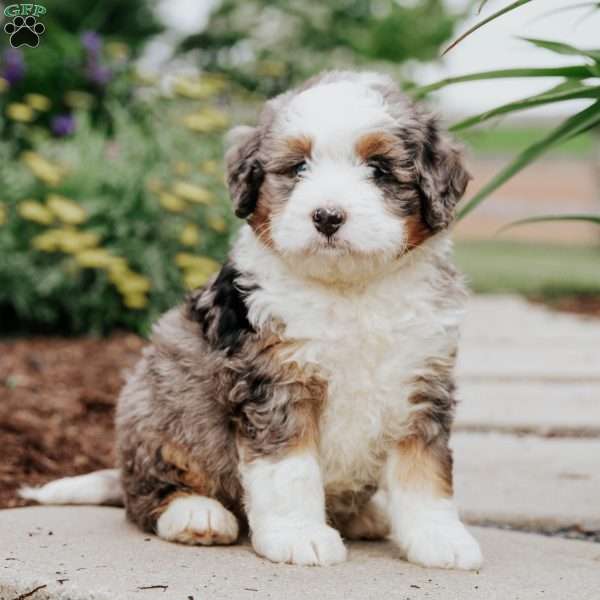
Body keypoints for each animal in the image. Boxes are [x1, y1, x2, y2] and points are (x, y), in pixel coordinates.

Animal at [23, 71, 482, 572]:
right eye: (298, 168)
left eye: (379, 169)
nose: (327, 216)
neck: (351, 291)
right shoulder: (274, 382)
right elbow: (290, 470)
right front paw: (300, 537)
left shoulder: (421, 384)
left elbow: (426, 473)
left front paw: (440, 539)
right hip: (158, 408)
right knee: (146, 496)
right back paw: (196, 514)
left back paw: (365, 515)